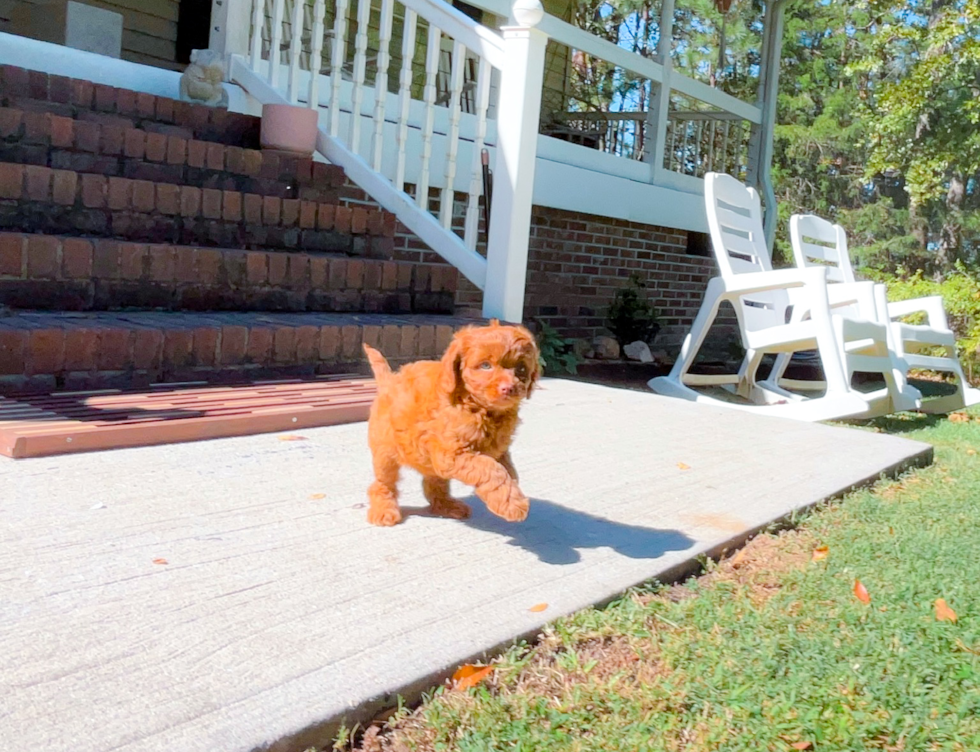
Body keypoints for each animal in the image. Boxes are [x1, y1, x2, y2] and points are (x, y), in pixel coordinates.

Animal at [364, 320, 540, 524]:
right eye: (485, 365)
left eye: (521, 368)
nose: (509, 388)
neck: (479, 408)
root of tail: (389, 381)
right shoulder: (451, 453)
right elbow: (489, 468)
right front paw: (512, 503)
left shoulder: (498, 450)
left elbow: (506, 470)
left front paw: (507, 495)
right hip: (385, 450)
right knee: (383, 482)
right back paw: (383, 509)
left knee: (434, 481)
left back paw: (446, 506)